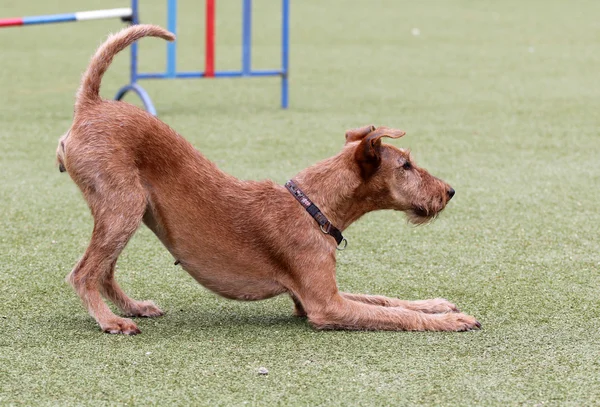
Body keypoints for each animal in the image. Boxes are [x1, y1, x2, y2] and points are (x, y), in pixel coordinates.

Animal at [56, 24, 478, 334]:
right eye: (406, 165)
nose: (450, 191)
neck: (313, 206)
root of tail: (91, 104)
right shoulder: (325, 306)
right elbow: (395, 314)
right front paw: (452, 319)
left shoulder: (315, 296)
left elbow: (386, 299)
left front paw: (436, 304)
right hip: (124, 207)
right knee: (83, 273)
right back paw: (111, 321)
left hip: (129, 210)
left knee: (105, 271)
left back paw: (135, 307)